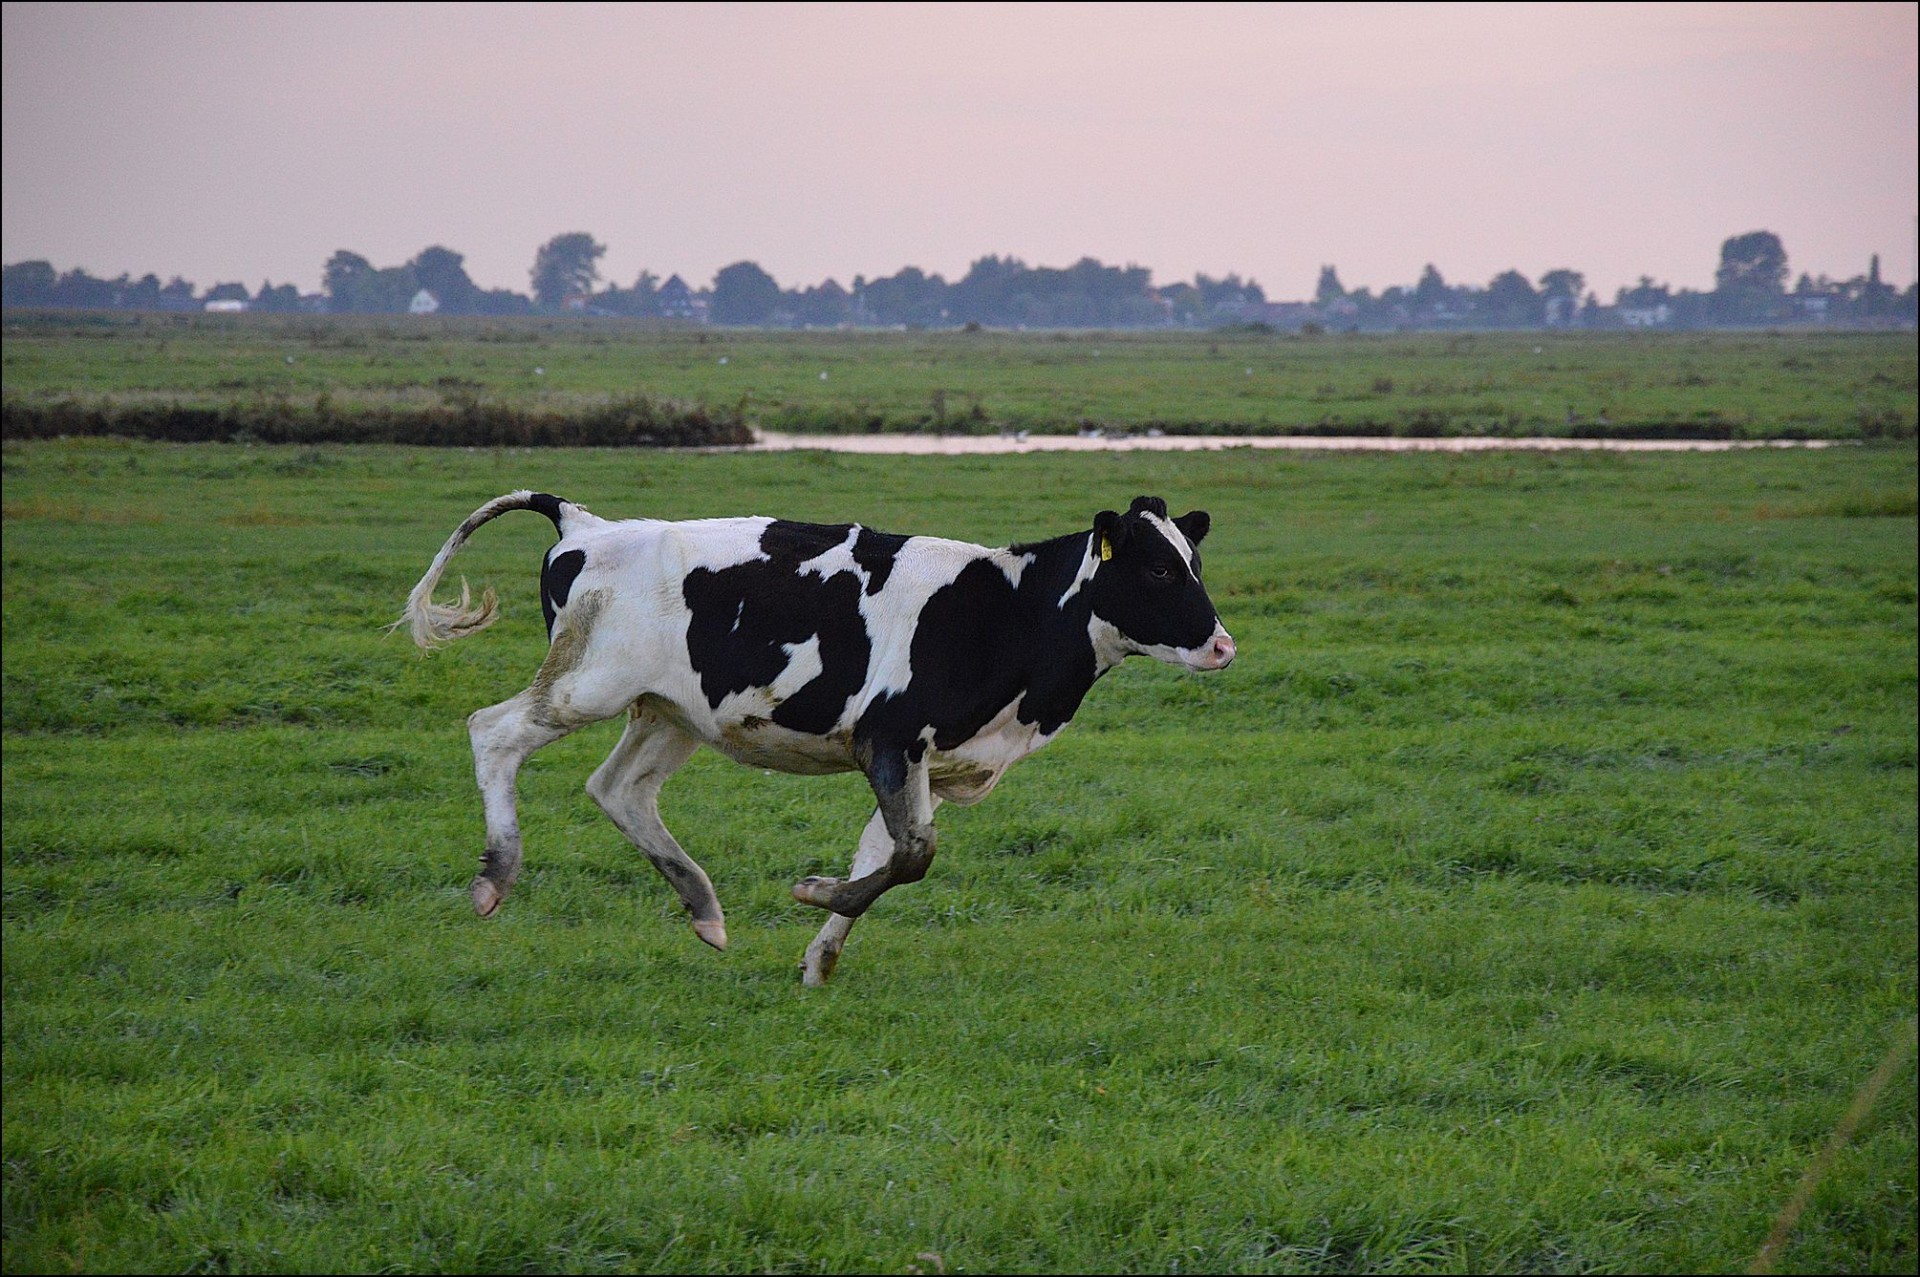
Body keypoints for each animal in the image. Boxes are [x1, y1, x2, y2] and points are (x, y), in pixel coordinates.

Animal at [403, 489, 1236, 983]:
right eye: (1159, 571)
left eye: (1195, 562)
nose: (1223, 645)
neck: (1010, 609)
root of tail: (587, 524)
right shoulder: (887, 737)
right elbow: (914, 854)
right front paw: (812, 891)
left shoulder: (927, 760)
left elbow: (888, 853)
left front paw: (820, 955)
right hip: (588, 684)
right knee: (493, 732)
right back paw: (495, 875)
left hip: (671, 710)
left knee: (619, 789)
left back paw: (703, 906)